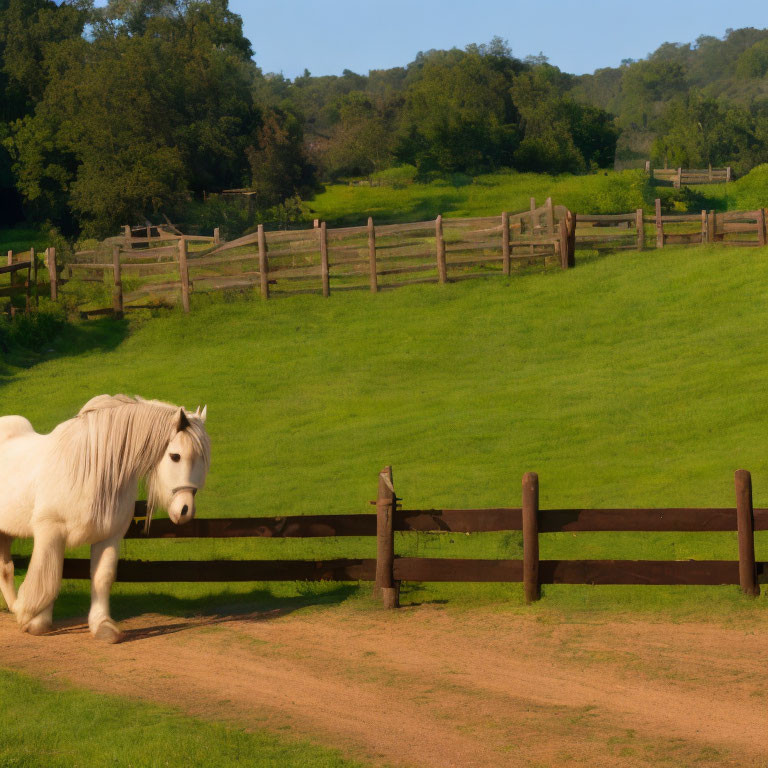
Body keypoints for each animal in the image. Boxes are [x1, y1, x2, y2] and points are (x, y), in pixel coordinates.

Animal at [0, 396, 210, 640]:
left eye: (204, 460)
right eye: (175, 456)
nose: (185, 511)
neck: (91, 469)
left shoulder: (109, 536)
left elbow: (102, 578)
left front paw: (103, 625)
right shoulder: (50, 533)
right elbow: (48, 575)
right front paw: (34, 621)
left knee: (5, 569)